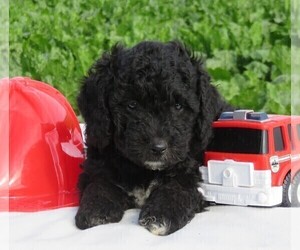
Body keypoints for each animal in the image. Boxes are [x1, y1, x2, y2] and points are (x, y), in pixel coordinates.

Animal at [76, 40, 231, 234]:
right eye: (132, 105)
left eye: (178, 106)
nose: (158, 148)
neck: (145, 170)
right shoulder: (99, 161)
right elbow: (99, 183)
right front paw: (96, 208)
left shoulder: (192, 172)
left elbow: (176, 188)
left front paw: (161, 215)